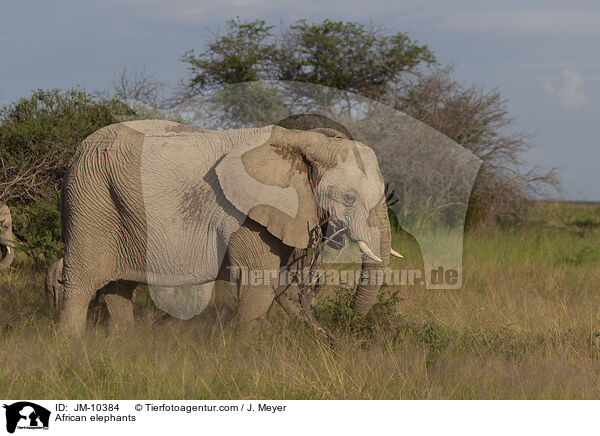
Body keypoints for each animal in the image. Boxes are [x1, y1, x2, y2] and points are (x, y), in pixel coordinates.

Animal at [59, 121, 398, 336]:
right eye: (349, 198)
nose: (334, 333)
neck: (306, 142)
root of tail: (76, 150)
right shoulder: (243, 213)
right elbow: (259, 284)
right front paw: (246, 356)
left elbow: (278, 284)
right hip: (90, 200)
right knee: (80, 283)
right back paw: (71, 347)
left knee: (118, 289)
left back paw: (124, 345)